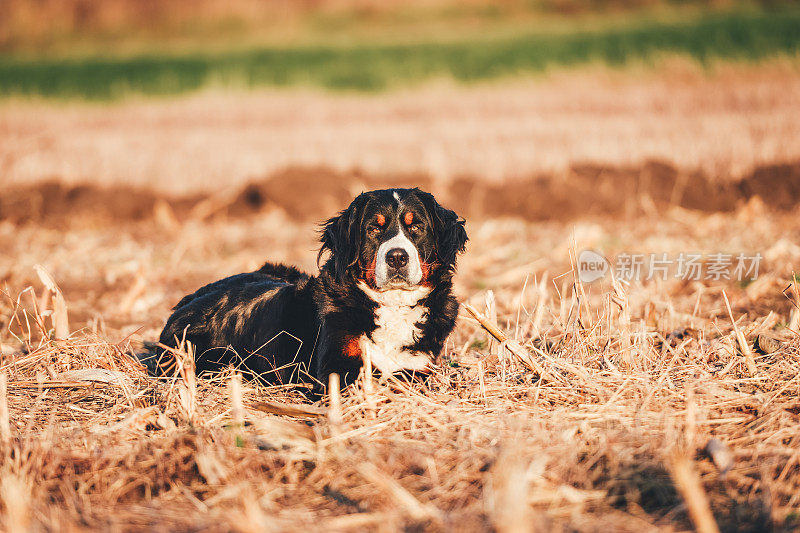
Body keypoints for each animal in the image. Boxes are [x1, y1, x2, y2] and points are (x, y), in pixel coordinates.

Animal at [148, 189, 468, 388]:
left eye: (417, 227)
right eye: (374, 229)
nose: (397, 257)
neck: (392, 306)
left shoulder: (419, 365)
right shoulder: (336, 365)